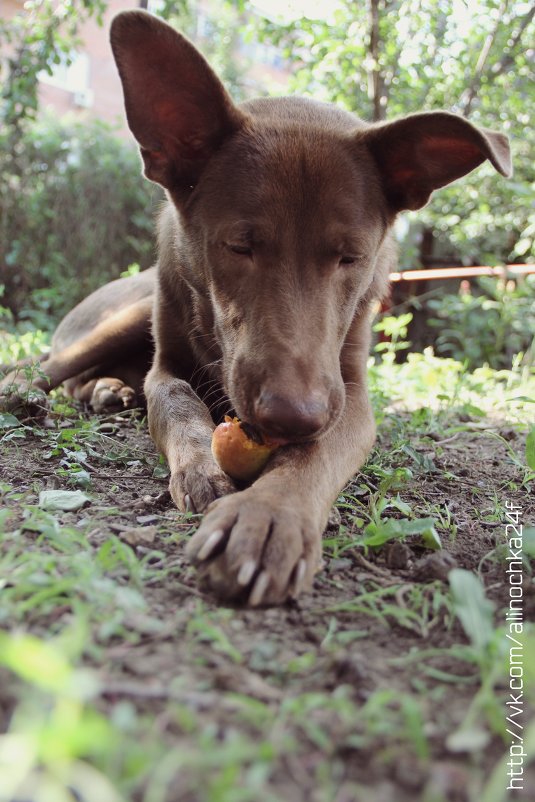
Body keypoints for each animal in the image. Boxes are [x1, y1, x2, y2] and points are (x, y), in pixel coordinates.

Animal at [0, 12, 510, 604]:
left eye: (351, 257)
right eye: (239, 246)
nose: (292, 417)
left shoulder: (349, 392)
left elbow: (317, 450)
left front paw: (269, 515)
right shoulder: (167, 364)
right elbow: (175, 399)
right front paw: (201, 467)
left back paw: (107, 392)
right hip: (128, 311)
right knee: (54, 364)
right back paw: (28, 388)